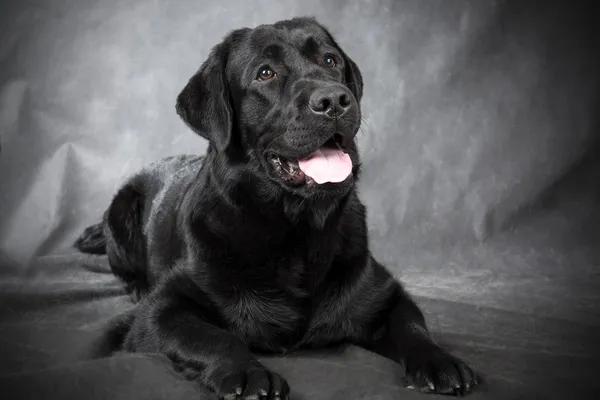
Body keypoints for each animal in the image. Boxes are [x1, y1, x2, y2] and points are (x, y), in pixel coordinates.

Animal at [74, 16, 478, 400]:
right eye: (265, 73)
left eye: (330, 60)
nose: (335, 100)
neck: (294, 227)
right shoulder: (160, 314)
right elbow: (217, 336)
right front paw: (248, 373)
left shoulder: (384, 294)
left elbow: (414, 325)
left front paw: (442, 361)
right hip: (121, 210)